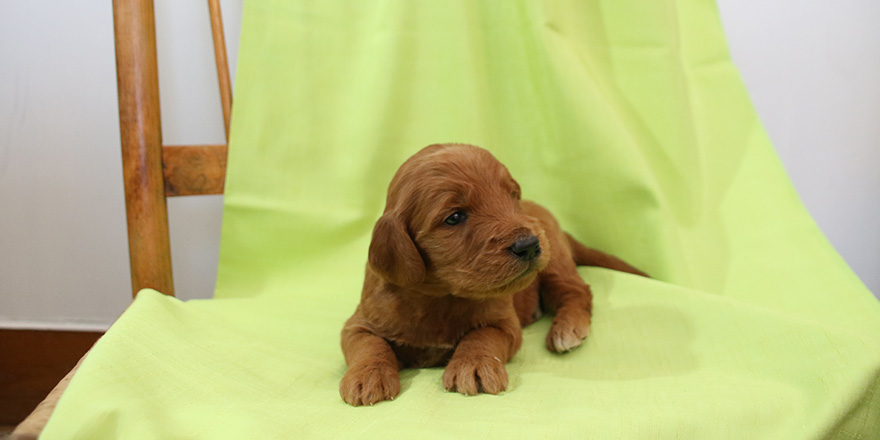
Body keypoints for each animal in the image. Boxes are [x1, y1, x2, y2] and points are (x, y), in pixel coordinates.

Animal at [340, 144, 644, 406]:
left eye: (512, 196)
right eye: (454, 217)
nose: (529, 244)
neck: (439, 297)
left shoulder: (503, 323)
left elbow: (482, 336)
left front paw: (474, 366)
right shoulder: (361, 322)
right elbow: (368, 344)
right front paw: (367, 376)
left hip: (555, 261)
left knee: (577, 290)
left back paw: (566, 330)